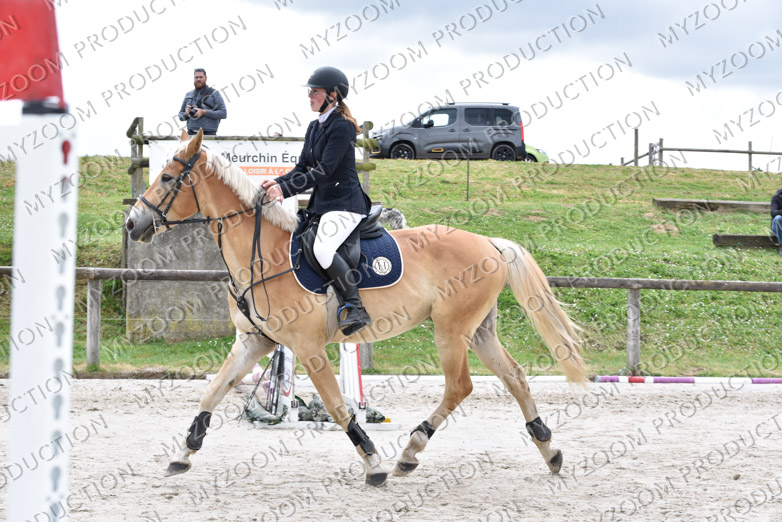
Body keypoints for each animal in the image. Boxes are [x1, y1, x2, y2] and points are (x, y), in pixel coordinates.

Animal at [124, 129, 587, 487]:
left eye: (167, 177)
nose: (132, 224)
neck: (263, 253)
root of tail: (488, 242)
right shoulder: (254, 342)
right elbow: (212, 391)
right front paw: (183, 453)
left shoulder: (309, 348)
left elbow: (336, 405)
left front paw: (372, 462)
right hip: (479, 330)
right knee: (515, 377)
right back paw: (549, 450)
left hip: (451, 331)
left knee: (460, 386)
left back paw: (409, 452)